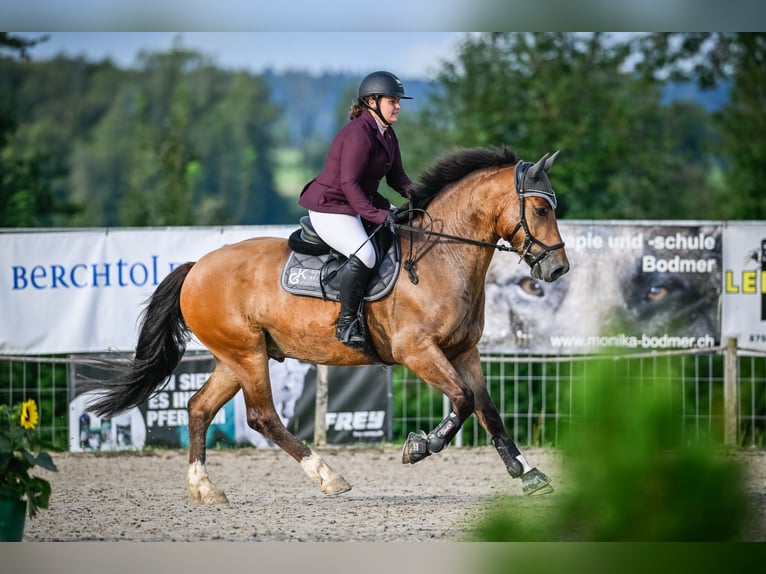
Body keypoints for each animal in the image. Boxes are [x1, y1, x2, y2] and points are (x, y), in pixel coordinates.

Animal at [87, 145, 572, 504]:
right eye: (540, 210)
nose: (558, 269)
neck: (443, 255)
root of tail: (196, 267)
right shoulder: (417, 350)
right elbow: (463, 401)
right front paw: (419, 447)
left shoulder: (463, 351)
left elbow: (488, 410)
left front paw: (526, 472)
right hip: (247, 354)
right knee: (262, 416)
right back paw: (328, 476)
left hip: (234, 356)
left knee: (199, 408)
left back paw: (204, 488)